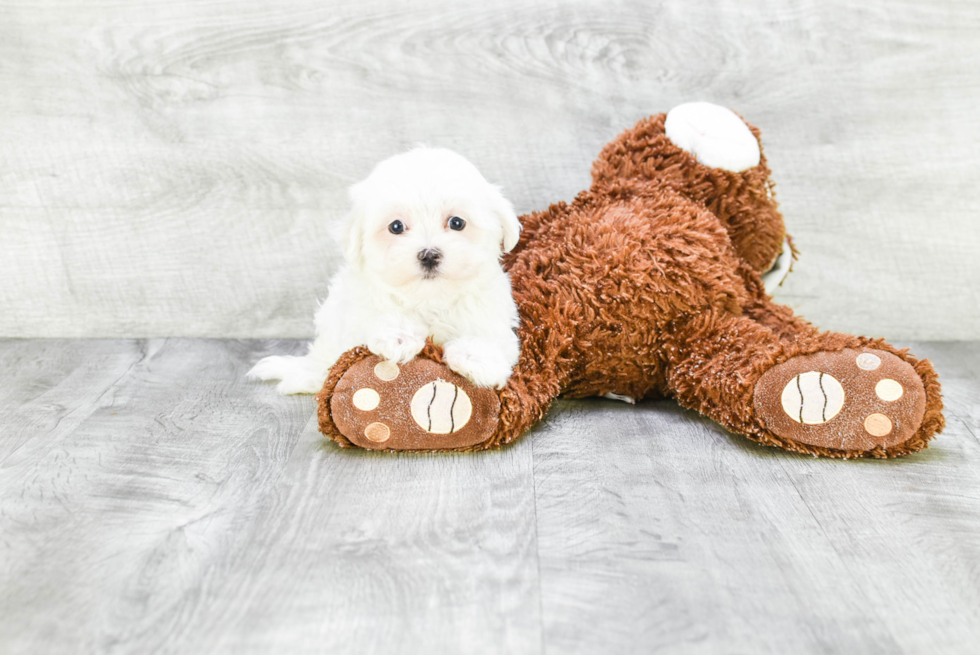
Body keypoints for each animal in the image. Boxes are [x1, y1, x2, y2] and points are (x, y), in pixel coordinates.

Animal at [249, 147, 524, 394]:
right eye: (396, 226)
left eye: (457, 222)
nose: (429, 255)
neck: (429, 299)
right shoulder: (356, 307)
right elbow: (374, 317)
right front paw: (398, 336)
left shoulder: (492, 312)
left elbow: (492, 337)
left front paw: (474, 357)